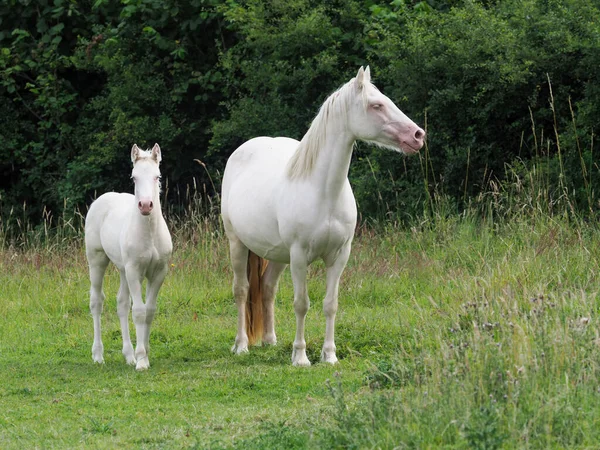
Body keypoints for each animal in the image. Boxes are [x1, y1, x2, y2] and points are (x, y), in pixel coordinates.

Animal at [83, 143, 171, 370]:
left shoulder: (159, 272)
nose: (146, 205)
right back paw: (98, 355)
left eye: (157, 176)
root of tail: (102, 199)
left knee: (122, 304)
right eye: (134, 177)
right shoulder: (134, 271)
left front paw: (143, 354)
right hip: (97, 261)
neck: (150, 234)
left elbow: (149, 311)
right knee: (96, 301)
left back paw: (128, 355)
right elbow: (139, 312)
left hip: (122, 269)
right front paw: (141, 360)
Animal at [221, 67, 426, 370]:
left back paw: (270, 340)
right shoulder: (299, 257)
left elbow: (331, 304)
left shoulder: (339, 256)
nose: (418, 135)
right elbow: (301, 304)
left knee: (267, 289)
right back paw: (241, 345)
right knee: (242, 290)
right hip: (238, 244)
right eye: (376, 105)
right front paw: (300, 356)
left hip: (277, 255)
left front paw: (329, 355)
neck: (325, 193)